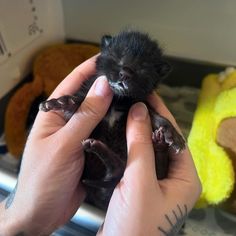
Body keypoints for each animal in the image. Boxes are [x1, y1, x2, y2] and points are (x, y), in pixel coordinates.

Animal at [39, 30, 185, 209]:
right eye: (117, 56)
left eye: (143, 67)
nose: (126, 73)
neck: (117, 99)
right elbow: (76, 105)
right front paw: (62, 102)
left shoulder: (140, 103)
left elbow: (155, 115)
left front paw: (172, 134)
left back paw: (159, 144)